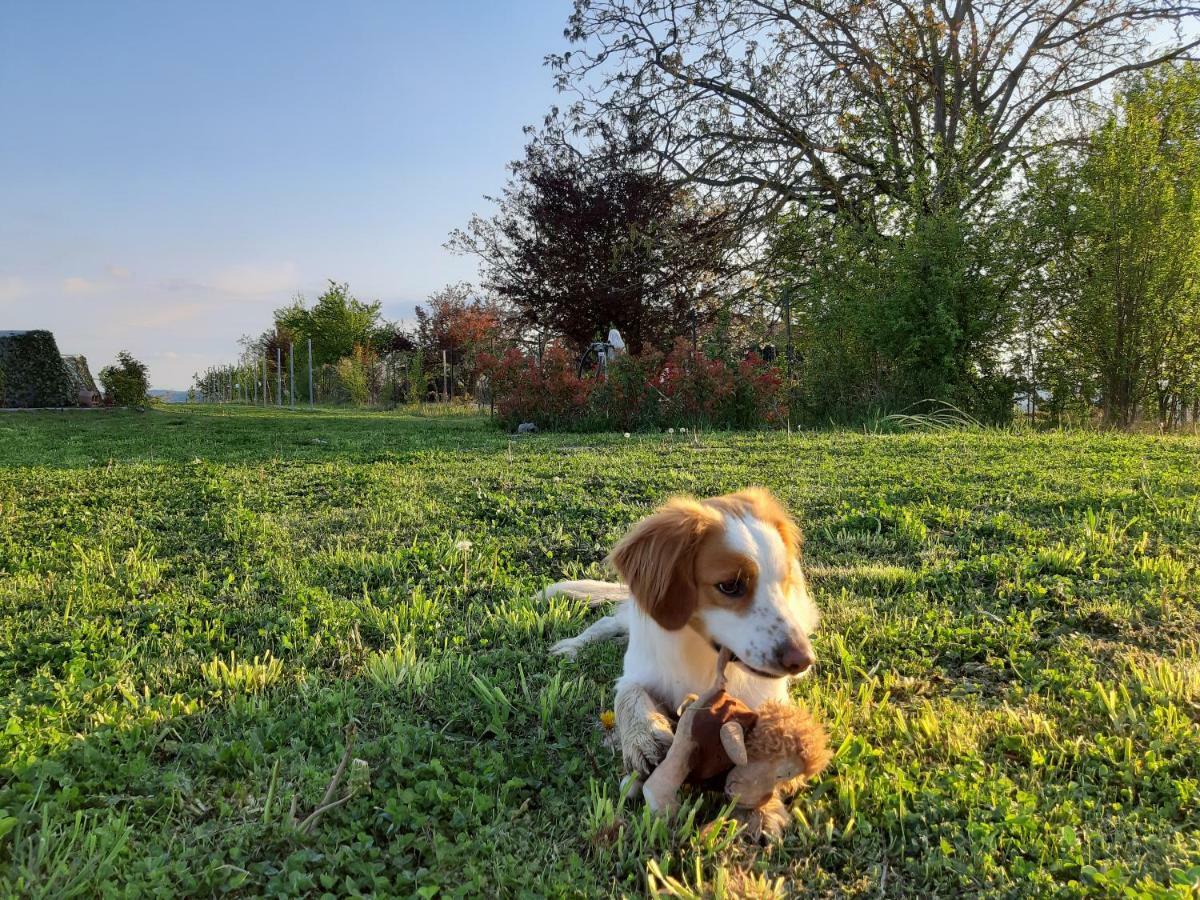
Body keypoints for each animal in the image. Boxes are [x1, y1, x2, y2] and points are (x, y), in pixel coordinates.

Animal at [549, 487, 820, 782]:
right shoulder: (637, 673)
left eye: (784, 580)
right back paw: (573, 646)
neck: (700, 654)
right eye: (730, 585)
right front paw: (644, 738)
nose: (803, 661)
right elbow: (628, 696)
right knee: (608, 621)